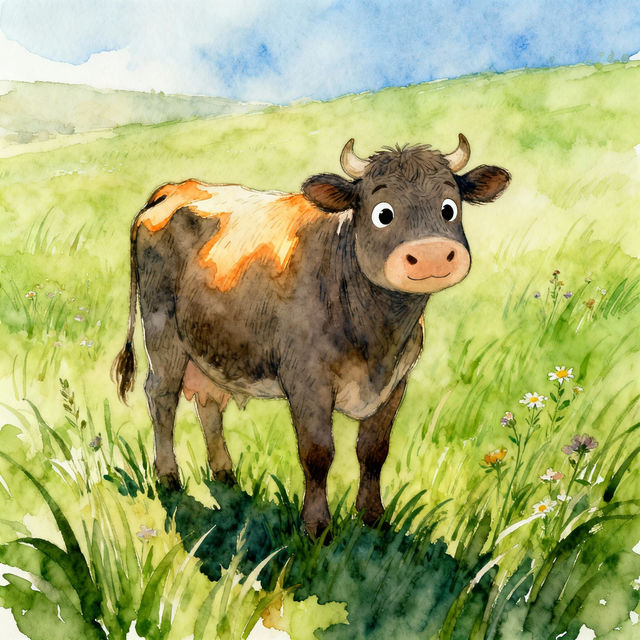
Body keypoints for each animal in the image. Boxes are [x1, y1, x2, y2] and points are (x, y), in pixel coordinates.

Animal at [113, 134, 510, 538]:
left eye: (449, 208)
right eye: (383, 213)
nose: (431, 254)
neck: (377, 335)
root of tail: (177, 188)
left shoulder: (396, 382)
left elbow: (373, 451)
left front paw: (373, 517)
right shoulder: (305, 380)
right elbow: (318, 453)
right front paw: (317, 527)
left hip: (212, 343)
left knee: (208, 401)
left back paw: (225, 475)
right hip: (162, 332)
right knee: (161, 397)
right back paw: (169, 477)